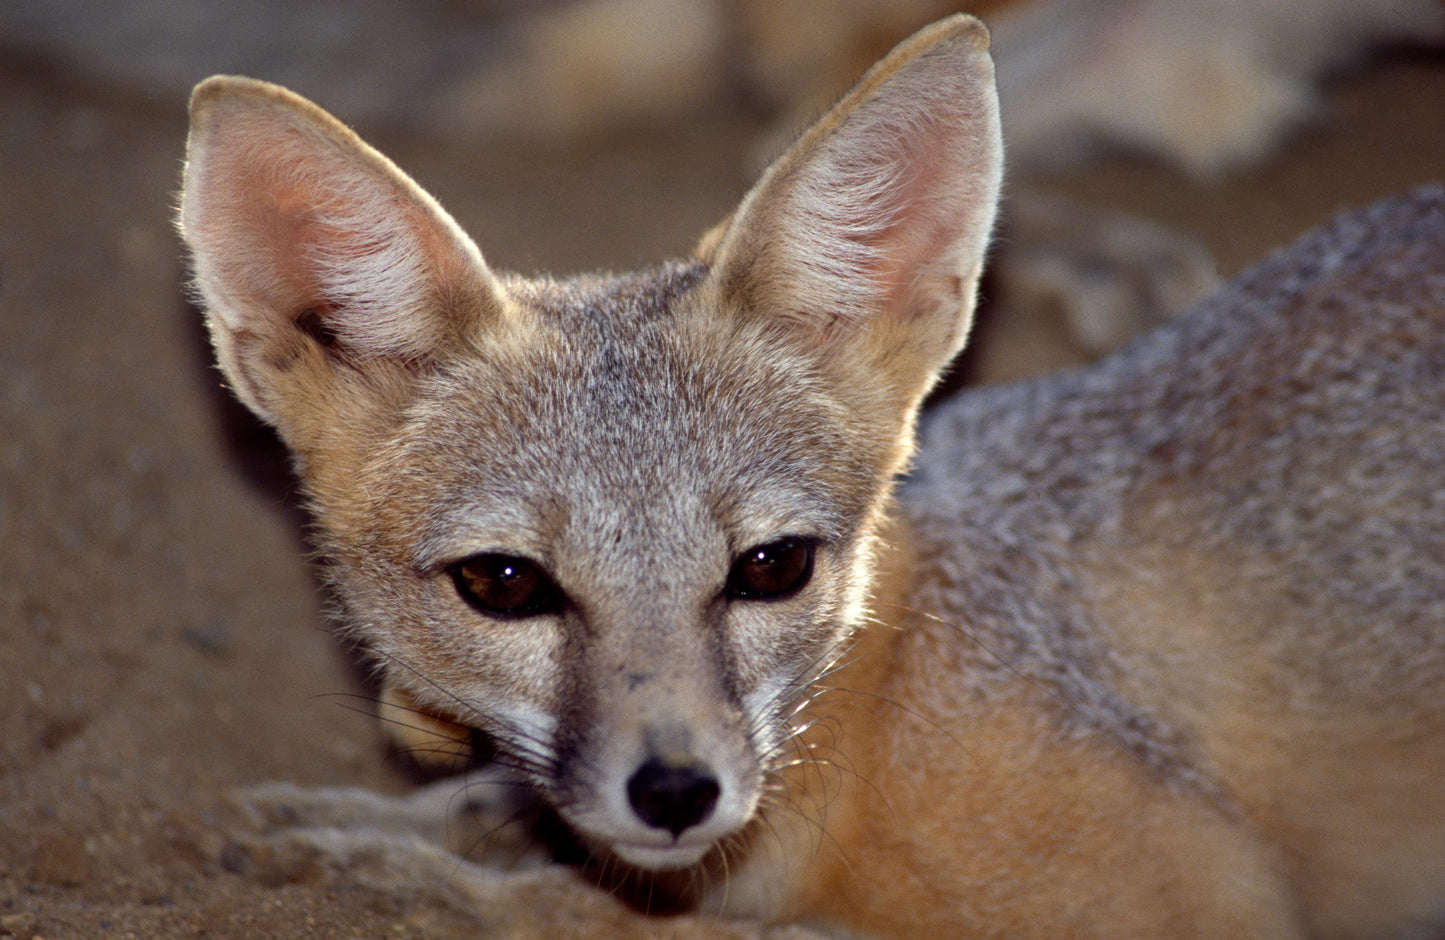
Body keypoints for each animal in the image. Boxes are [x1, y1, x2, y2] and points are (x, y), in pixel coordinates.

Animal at [178, 14, 1445, 939]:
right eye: (503, 584)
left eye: (770, 567)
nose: (675, 790)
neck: (872, 716)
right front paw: (390, 819)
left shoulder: (1191, 900)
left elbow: (663, 926)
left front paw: (421, 876)